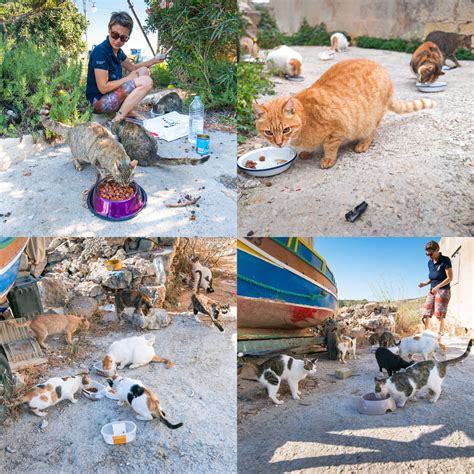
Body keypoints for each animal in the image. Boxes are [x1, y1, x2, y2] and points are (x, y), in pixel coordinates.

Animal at [254, 58, 436, 168]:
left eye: (286, 130)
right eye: (269, 132)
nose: (279, 144)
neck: (306, 117)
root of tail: (384, 72)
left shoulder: (336, 130)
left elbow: (329, 147)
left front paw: (328, 159)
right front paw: (308, 152)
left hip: (370, 120)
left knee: (372, 131)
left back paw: (363, 144)